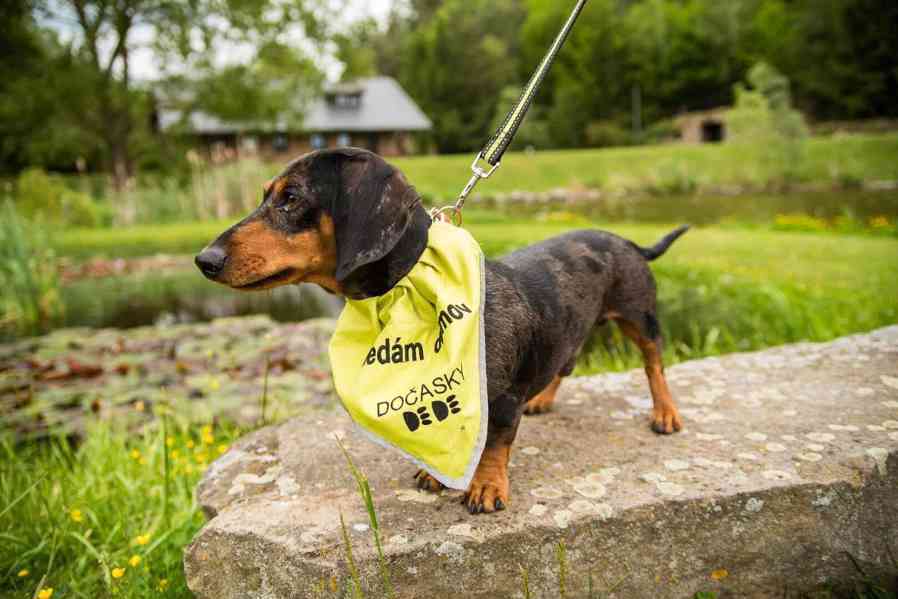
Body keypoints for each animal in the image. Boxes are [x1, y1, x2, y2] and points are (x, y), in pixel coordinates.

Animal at [196, 146, 688, 516]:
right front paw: (435, 473)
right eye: (266, 195)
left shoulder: (503, 399)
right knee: (564, 364)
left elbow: (496, 441)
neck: (411, 289)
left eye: (291, 197)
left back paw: (665, 413)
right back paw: (544, 399)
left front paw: (486, 487)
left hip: (640, 318)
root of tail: (628, 241)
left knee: (654, 365)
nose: (205, 259)